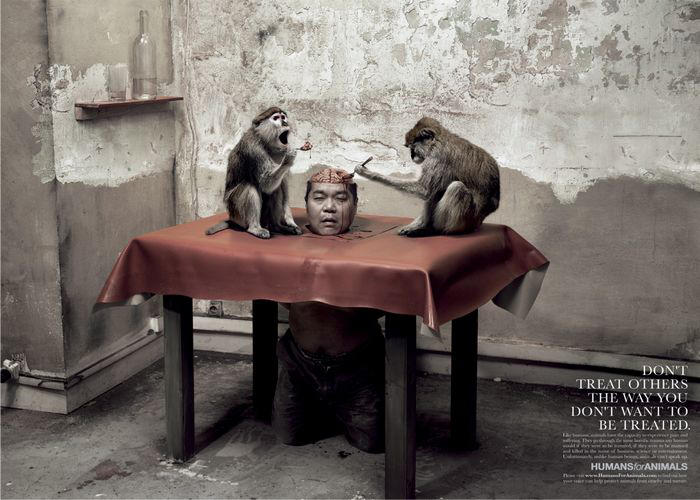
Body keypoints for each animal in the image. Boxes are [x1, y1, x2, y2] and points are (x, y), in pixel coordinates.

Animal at [205, 107, 303, 239]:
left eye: (283, 117)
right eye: (276, 118)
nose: (284, 123)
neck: (265, 141)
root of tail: (232, 219)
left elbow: (282, 185)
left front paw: (290, 221)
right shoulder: (253, 148)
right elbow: (266, 184)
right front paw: (289, 157)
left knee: (276, 190)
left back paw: (277, 226)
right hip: (237, 214)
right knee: (250, 187)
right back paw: (255, 228)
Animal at [354, 117, 500, 236]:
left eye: (413, 147)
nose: (412, 156)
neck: (439, 141)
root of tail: (480, 221)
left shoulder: (437, 158)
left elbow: (425, 191)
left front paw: (369, 173)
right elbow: (429, 193)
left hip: (468, 220)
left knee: (455, 187)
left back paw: (434, 230)